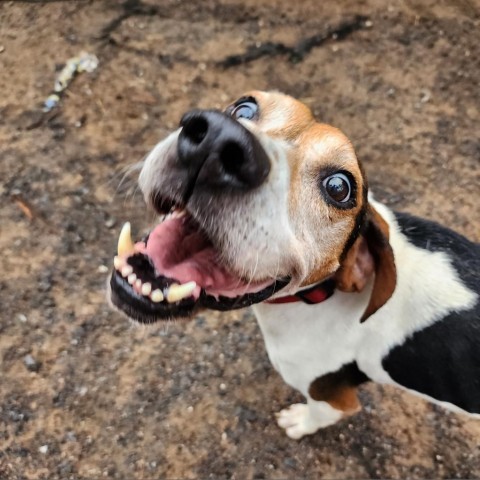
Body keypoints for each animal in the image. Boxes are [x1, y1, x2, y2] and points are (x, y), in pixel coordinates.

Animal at [109, 90, 480, 438]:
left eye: (339, 187)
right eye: (244, 107)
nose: (217, 140)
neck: (319, 296)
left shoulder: (333, 400)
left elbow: (320, 415)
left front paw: (298, 422)